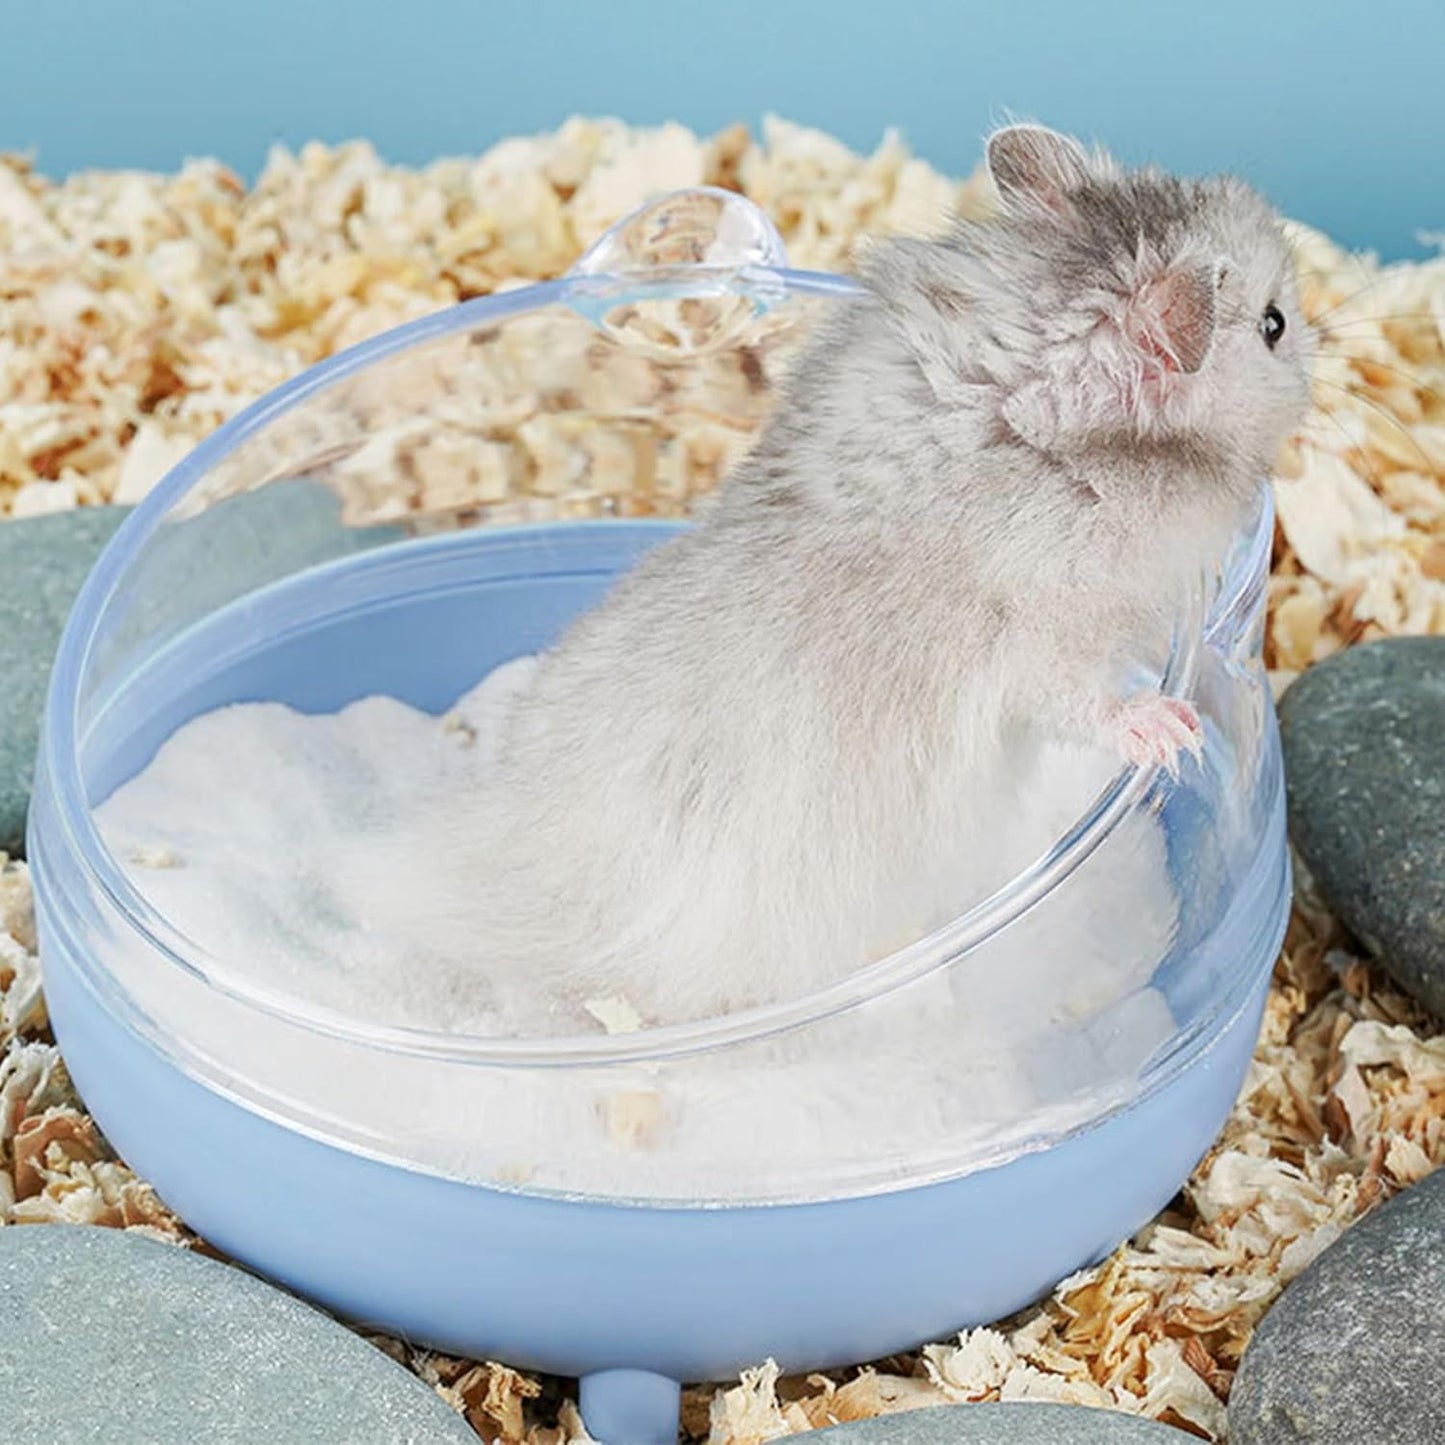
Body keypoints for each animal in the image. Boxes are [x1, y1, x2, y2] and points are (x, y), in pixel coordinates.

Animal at [347, 125, 1315, 1033]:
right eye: (1272, 323)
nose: (1321, 355)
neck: (1038, 401)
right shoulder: (1046, 631)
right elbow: (1086, 699)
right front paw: (1171, 728)